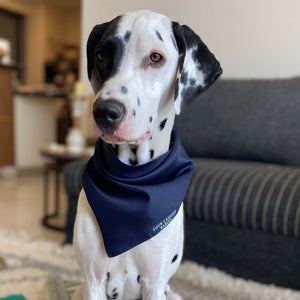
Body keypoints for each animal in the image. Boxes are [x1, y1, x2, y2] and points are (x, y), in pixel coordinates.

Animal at [74, 9, 221, 300]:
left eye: (155, 57)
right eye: (101, 55)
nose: (105, 112)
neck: (134, 179)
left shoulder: (154, 283)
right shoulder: (92, 281)